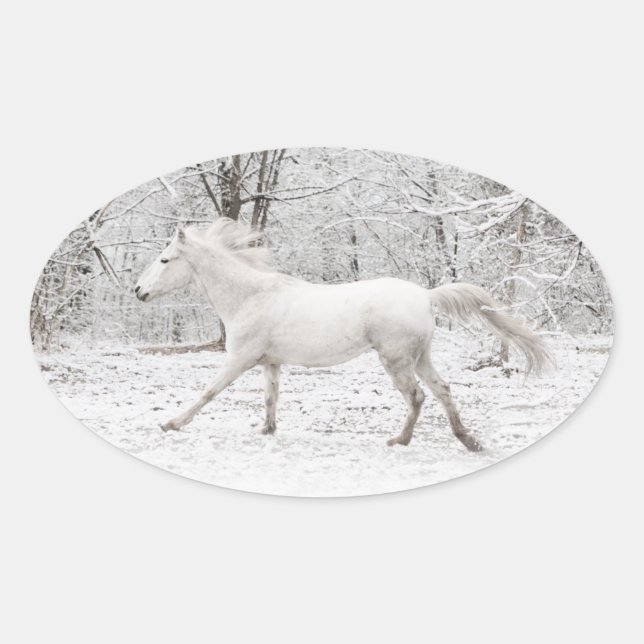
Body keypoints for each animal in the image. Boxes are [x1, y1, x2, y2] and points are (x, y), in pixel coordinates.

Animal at [134, 219, 552, 451]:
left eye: (164, 259)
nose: (138, 291)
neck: (250, 296)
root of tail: (425, 295)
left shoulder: (239, 359)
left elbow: (208, 392)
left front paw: (171, 423)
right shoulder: (270, 363)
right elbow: (271, 399)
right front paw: (266, 430)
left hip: (396, 361)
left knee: (417, 397)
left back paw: (400, 441)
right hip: (420, 357)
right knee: (443, 390)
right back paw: (469, 440)